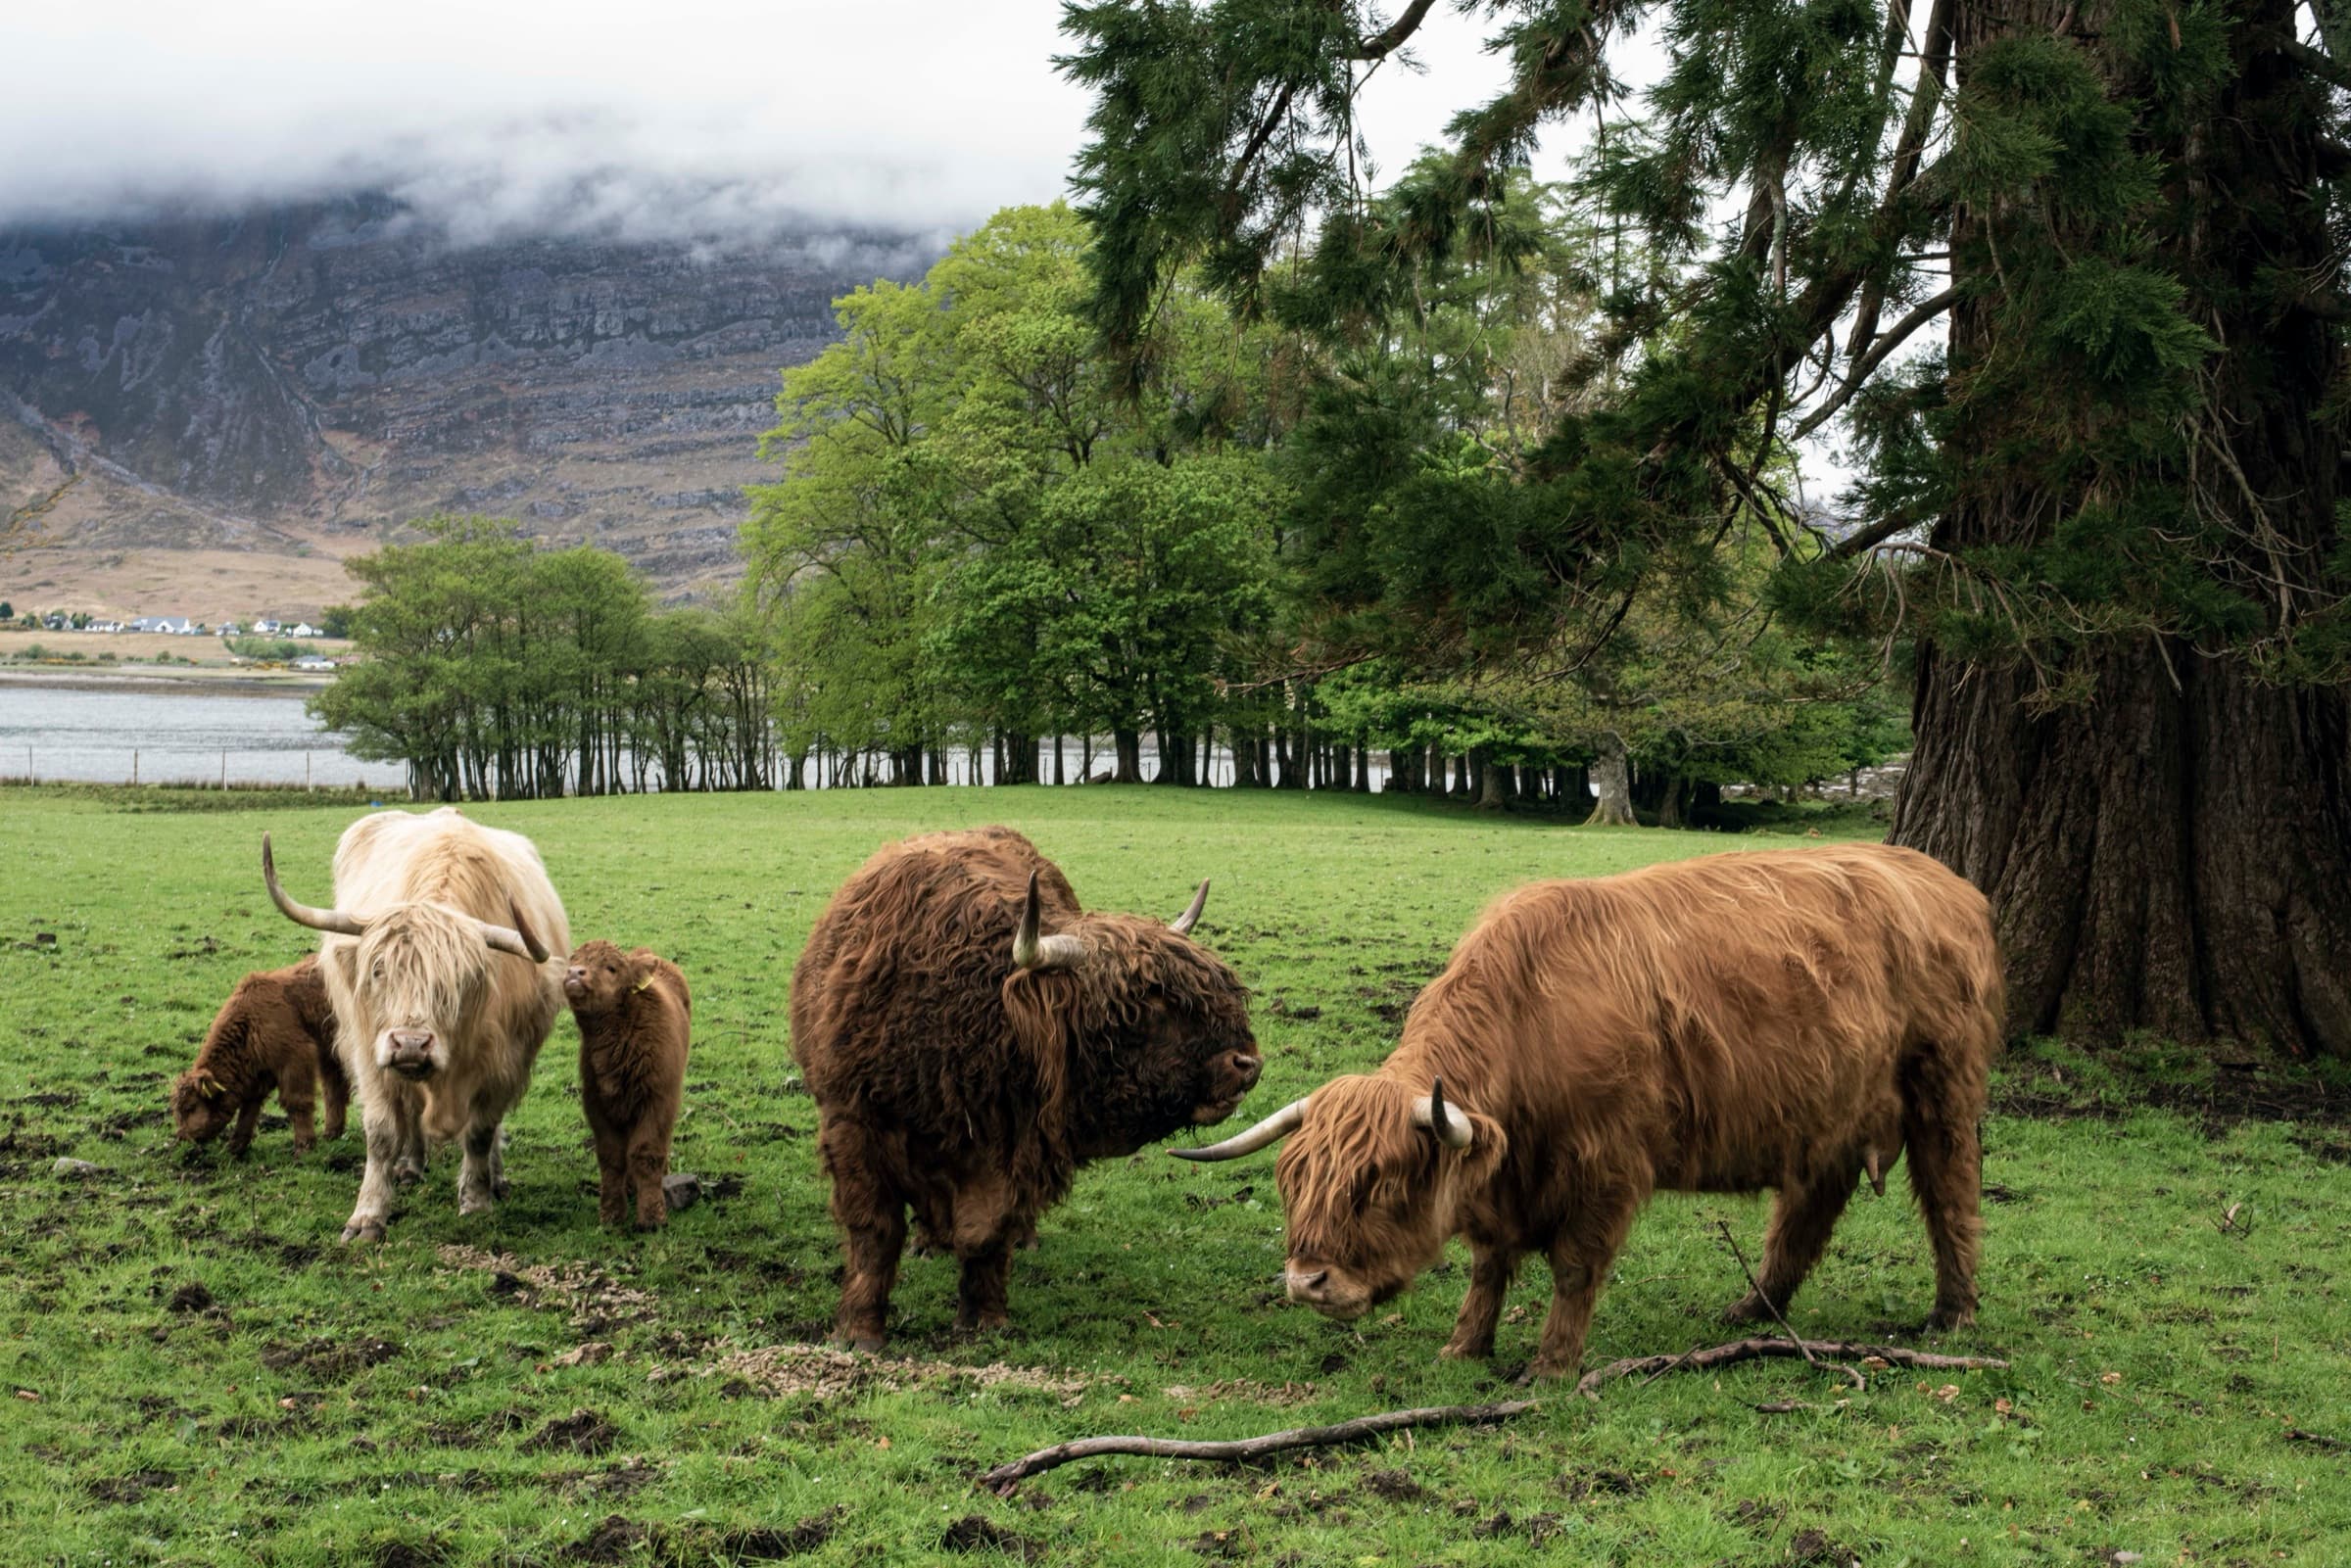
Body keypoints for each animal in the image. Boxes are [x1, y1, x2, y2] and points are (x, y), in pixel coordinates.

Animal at [170, 956, 350, 1156]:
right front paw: (235, 1147)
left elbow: (297, 1101)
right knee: (334, 1088)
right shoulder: (258, 1073)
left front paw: (304, 1145)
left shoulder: (296, 1058)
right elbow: (249, 1108)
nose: (181, 1137)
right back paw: (332, 1132)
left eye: (191, 1107)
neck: (250, 1023)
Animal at [261, 808, 571, 1243]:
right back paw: (409, 1165)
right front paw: (367, 1216)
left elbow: (480, 1131)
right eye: (378, 970)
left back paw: (495, 1178)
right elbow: (381, 1133)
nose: (410, 1044)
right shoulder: (369, 1052)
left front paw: (476, 1200)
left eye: (459, 979)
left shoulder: (505, 1061)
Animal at [561, 940, 691, 1230]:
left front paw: (652, 1217)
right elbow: (612, 1158)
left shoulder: (658, 1100)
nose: (575, 973)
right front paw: (611, 1214)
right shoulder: (596, 1103)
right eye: (573, 960)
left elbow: (646, 1153)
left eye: (611, 968)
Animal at [791, 826, 1262, 1350]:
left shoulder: (1017, 1143)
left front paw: (985, 1318)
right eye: (1153, 1003)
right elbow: (874, 1230)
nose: (1246, 1063)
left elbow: (989, 1233)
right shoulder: (853, 1124)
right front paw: (860, 1330)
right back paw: (926, 1244)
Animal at [1174, 843, 2003, 1380]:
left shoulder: (1608, 1164)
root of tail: (1947, 882)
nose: (1306, 1281)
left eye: (1380, 1182)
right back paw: (1752, 1308)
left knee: (1951, 1195)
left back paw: (1955, 1313)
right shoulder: (1502, 1179)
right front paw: (1464, 1346)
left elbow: (1574, 1268)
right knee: (1808, 1208)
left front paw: (1550, 1366)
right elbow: (1489, 1266)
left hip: (1943, 1090)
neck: (1529, 1022)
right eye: (1293, 1180)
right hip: (1827, 1111)